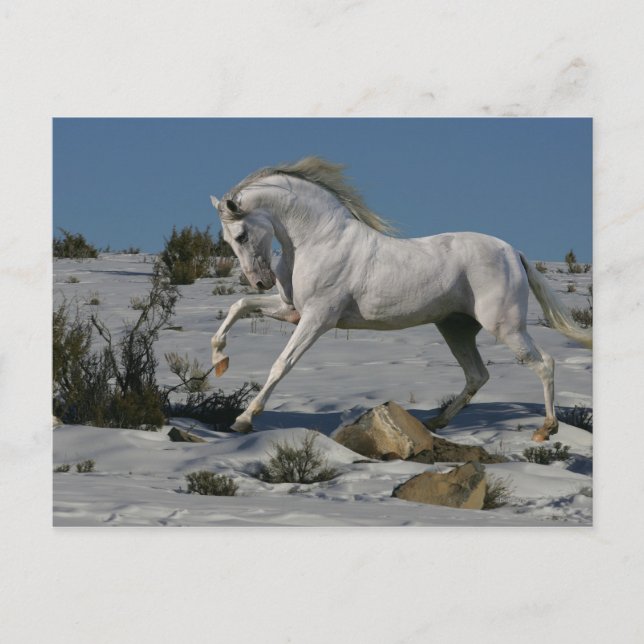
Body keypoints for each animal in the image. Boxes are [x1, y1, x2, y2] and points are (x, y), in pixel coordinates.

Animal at [209, 157, 591, 441]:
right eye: (227, 241)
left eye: (241, 235)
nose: (261, 281)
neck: (317, 241)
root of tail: (513, 252)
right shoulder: (291, 310)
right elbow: (239, 307)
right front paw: (219, 359)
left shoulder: (317, 318)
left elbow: (281, 364)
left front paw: (243, 420)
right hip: (456, 328)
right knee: (477, 375)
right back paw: (435, 423)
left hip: (505, 326)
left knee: (543, 363)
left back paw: (546, 429)